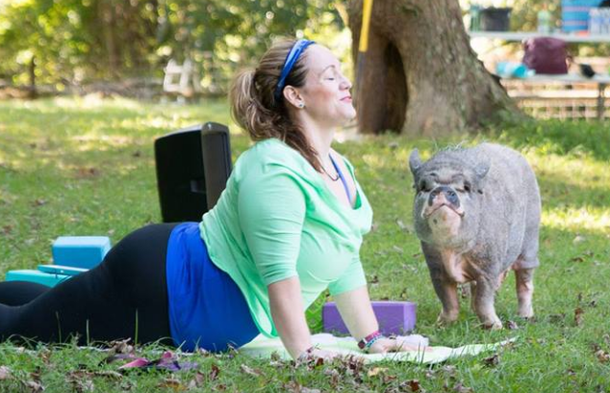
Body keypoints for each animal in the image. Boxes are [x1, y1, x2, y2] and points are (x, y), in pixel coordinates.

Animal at [406, 143, 540, 328]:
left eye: (465, 187)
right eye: (424, 187)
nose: (442, 189)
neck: (452, 249)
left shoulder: (488, 266)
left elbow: (483, 299)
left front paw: (496, 328)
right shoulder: (436, 268)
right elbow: (448, 299)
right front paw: (441, 325)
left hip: (530, 239)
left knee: (525, 280)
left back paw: (525, 316)